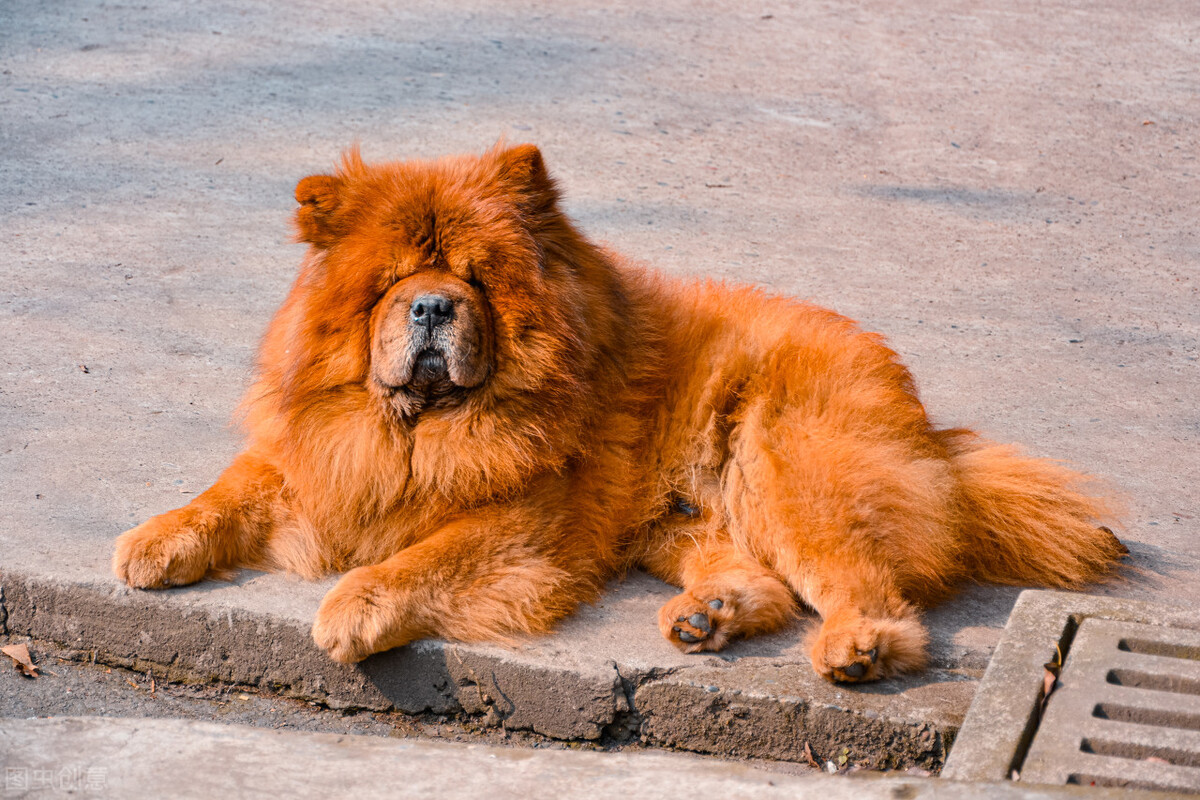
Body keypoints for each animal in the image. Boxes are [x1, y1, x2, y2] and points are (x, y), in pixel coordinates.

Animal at [112, 142, 1123, 681]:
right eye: (393, 281)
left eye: (474, 279)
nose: (432, 307)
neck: (417, 429)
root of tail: (933, 436)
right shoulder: (313, 451)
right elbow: (232, 486)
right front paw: (152, 541)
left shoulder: (526, 519)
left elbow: (421, 558)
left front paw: (350, 607)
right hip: (685, 520)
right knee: (758, 577)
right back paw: (705, 618)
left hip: (788, 469)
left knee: (863, 588)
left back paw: (854, 650)